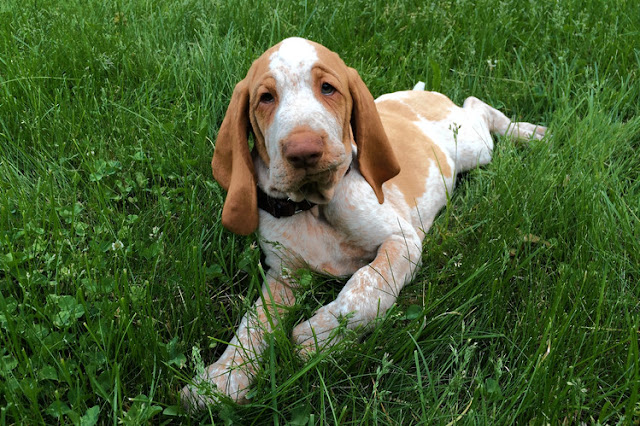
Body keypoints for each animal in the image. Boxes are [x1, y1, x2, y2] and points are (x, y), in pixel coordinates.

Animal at [180, 38, 544, 412]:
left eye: (328, 88)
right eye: (266, 98)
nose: (303, 151)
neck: (313, 206)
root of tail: (414, 94)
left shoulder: (401, 241)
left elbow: (363, 289)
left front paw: (319, 336)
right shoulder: (284, 277)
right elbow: (253, 323)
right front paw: (221, 377)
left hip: (473, 146)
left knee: (476, 107)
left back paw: (531, 133)